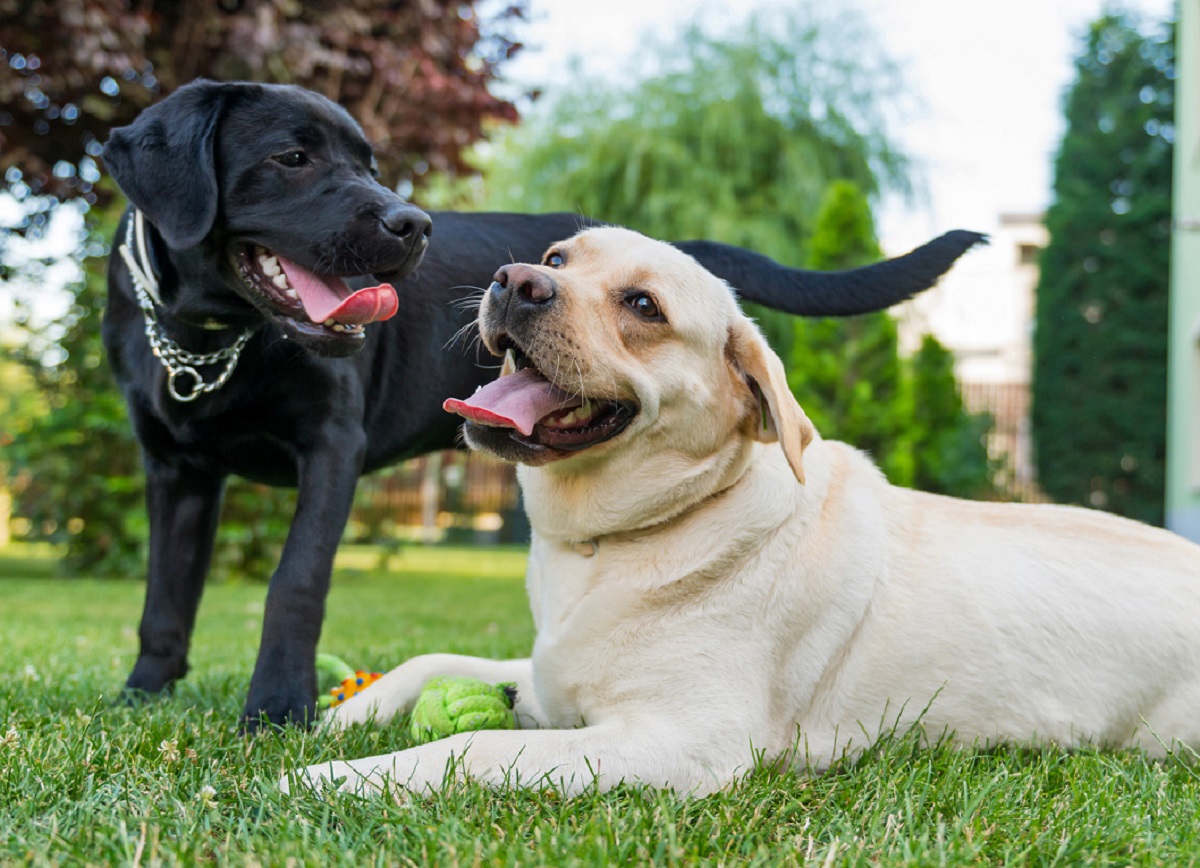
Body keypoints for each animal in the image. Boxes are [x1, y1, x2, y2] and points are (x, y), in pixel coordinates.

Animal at [103, 79, 984, 725]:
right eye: (291, 157)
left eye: (369, 162)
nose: (412, 223)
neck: (212, 336)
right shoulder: (174, 470)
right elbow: (164, 595)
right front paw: (142, 694)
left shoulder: (331, 448)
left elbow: (294, 583)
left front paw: (276, 707)